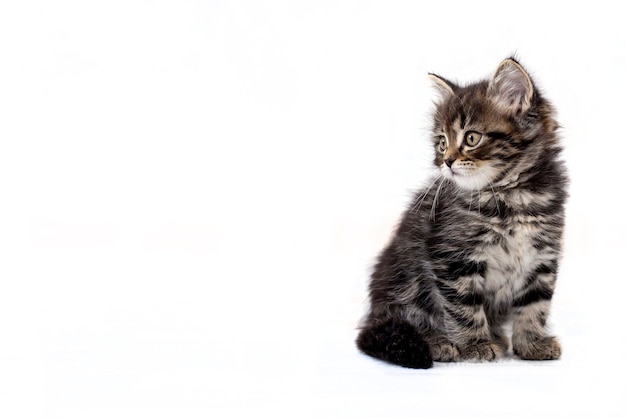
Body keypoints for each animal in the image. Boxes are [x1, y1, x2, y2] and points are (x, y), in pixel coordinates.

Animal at [356, 57, 564, 368]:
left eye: (472, 138)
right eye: (442, 142)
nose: (447, 161)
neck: (511, 196)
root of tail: (374, 313)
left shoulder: (542, 257)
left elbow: (535, 306)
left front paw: (531, 344)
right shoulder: (453, 259)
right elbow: (463, 308)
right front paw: (475, 344)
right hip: (404, 282)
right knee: (408, 318)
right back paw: (439, 343)